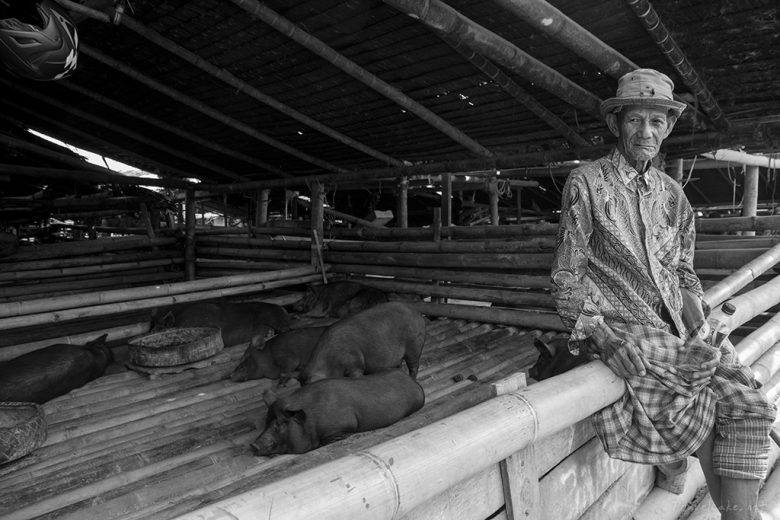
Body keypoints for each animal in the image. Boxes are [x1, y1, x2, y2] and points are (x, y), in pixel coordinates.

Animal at [250, 370, 424, 456]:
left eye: (279, 424)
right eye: (266, 422)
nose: (253, 445)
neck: (310, 420)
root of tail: (415, 383)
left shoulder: (342, 426)